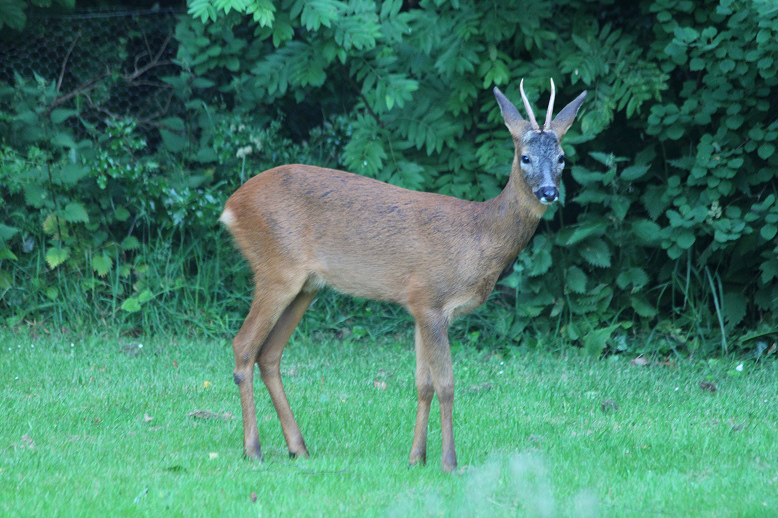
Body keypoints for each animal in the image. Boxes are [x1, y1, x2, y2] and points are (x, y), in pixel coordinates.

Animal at [218, 79, 584, 474]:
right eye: (525, 157)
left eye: (562, 158)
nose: (549, 192)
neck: (478, 235)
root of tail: (231, 207)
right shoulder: (431, 299)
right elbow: (446, 383)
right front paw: (449, 461)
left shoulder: (419, 306)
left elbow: (423, 384)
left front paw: (416, 458)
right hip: (276, 269)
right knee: (244, 345)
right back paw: (253, 449)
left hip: (306, 285)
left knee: (269, 354)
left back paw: (298, 448)